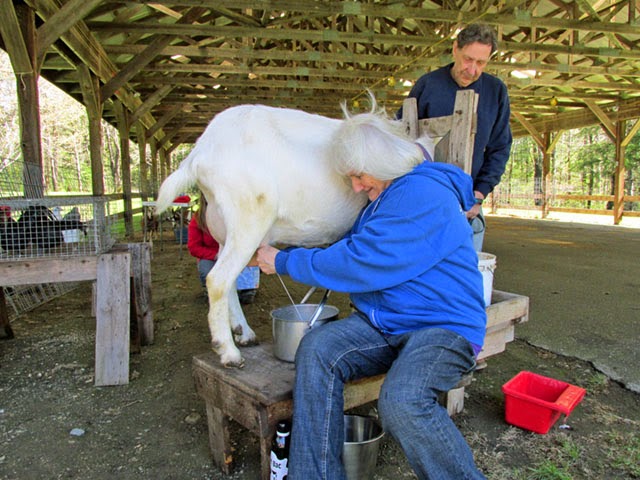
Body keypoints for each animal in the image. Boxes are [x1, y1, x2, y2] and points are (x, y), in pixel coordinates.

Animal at [156, 99, 436, 366]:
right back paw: (229, 353)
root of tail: (200, 151)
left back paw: (244, 333)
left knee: (229, 280)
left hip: (224, 229)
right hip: (249, 216)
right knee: (217, 280)